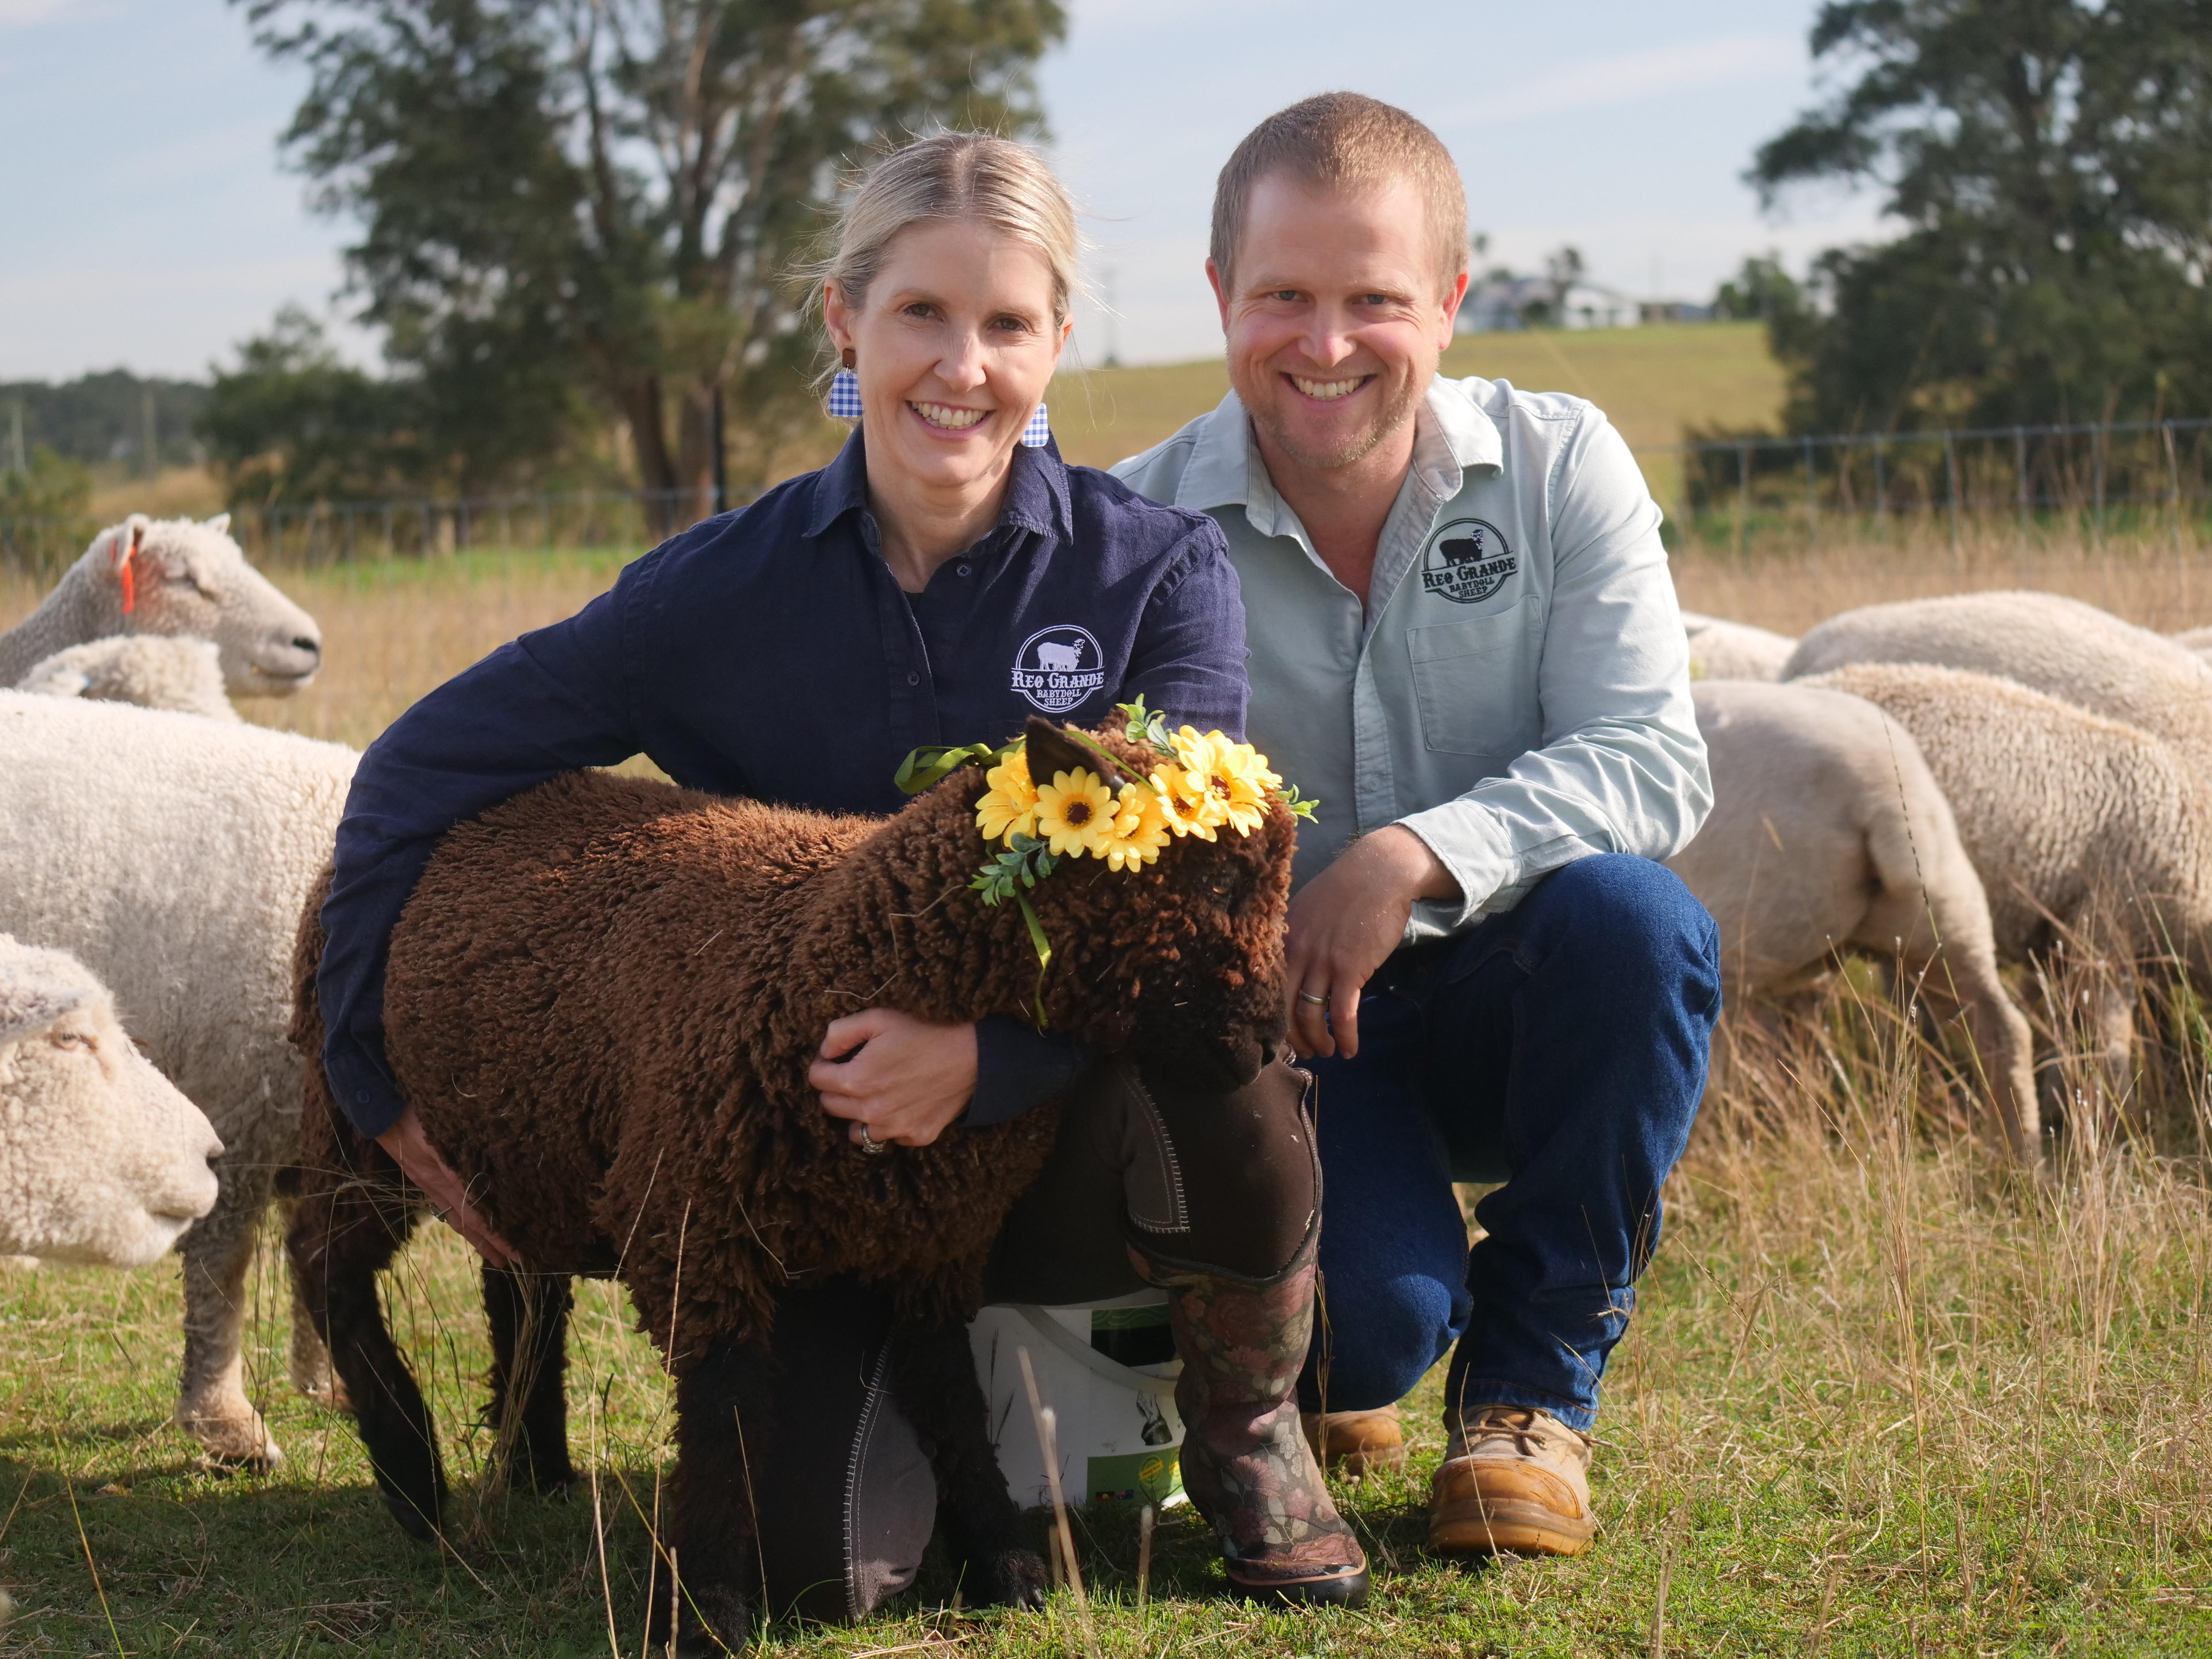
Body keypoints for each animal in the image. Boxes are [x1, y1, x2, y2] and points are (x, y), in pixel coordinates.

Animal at [287, 716, 1299, 1650]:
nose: (1267, 1044)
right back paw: (411, 1473)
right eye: (1215, 882)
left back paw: (538, 1462)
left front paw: (1005, 1563)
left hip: (529, 1145)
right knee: (323, 1261)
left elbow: (952, 1403)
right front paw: (706, 1613)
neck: (838, 957)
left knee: (522, 1288)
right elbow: (724, 1425)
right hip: (364, 1134)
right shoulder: (697, 1230)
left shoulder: (933, 1247)